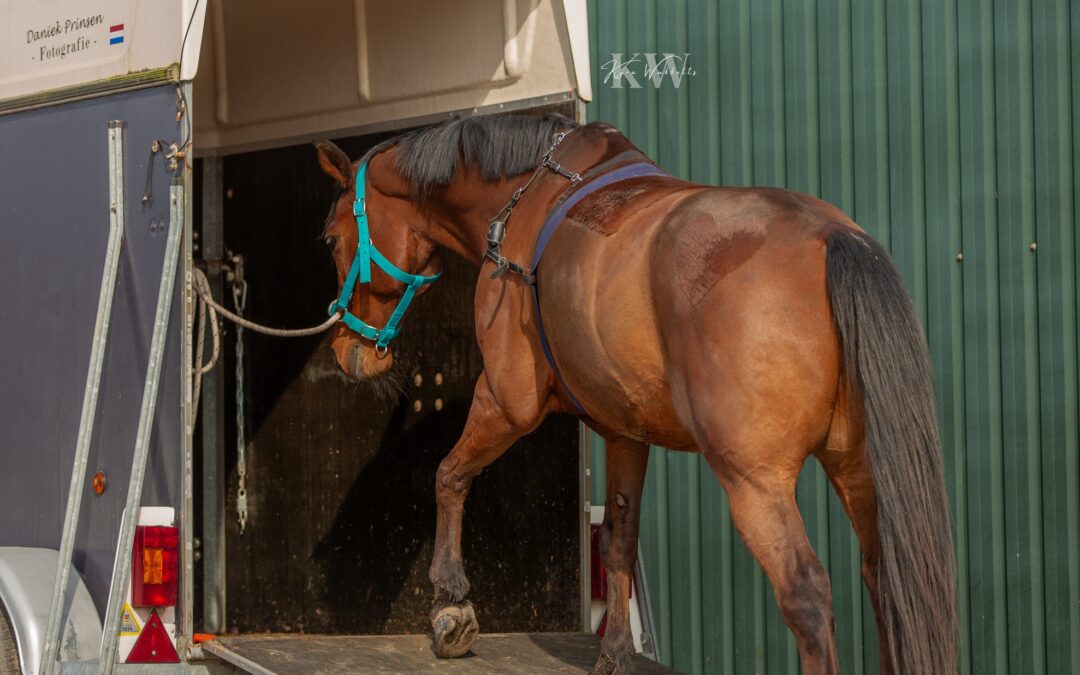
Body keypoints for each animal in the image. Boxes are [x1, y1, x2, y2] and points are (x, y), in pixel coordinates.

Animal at [313, 113, 956, 675]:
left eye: (331, 239)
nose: (348, 351)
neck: (523, 199)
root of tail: (831, 237)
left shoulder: (505, 399)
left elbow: (449, 475)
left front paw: (450, 599)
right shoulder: (625, 434)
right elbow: (619, 542)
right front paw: (616, 654)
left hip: (756, 482)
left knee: (807, 596)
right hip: (858, 471)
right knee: (887, 582)